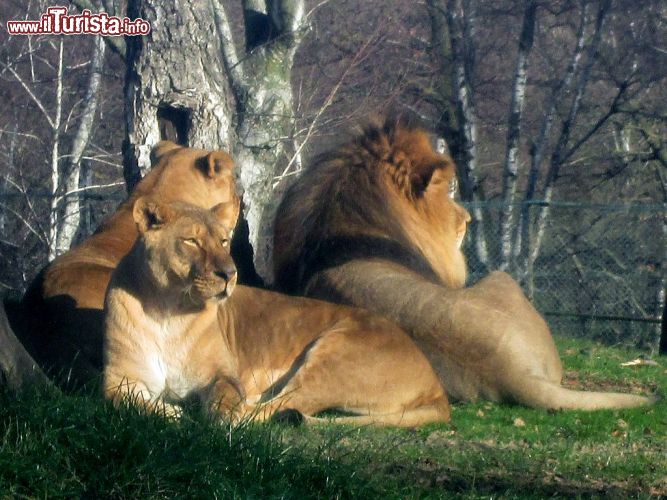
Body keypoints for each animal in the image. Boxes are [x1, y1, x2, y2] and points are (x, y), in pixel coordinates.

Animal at [104, 196, 448, 426]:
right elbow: (122, 399)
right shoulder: (117, 378)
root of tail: (436, 385)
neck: (167, 311)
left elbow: (225, 396)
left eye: (224, 241)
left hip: (335, 355)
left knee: (282, 406)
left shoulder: (222, 374)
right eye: (191, 241)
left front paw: (215, 416)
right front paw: (170, 412)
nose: (229, 274)